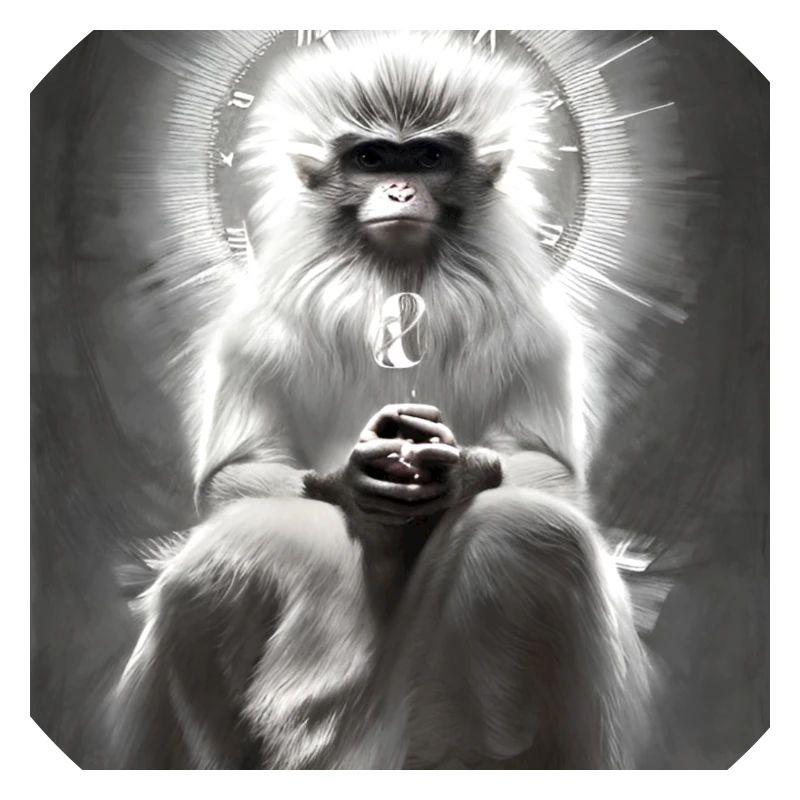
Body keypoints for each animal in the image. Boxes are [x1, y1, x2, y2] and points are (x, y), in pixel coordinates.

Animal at [111, 31, 652, 769]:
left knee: (533, 533)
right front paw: (351, 479)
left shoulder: (538, 328)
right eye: (370, 159)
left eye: (426, 158)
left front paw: (462, 472)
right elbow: (233, 477)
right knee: (222, 564)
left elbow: (553, 474)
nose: (398, 188)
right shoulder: (252, 327)